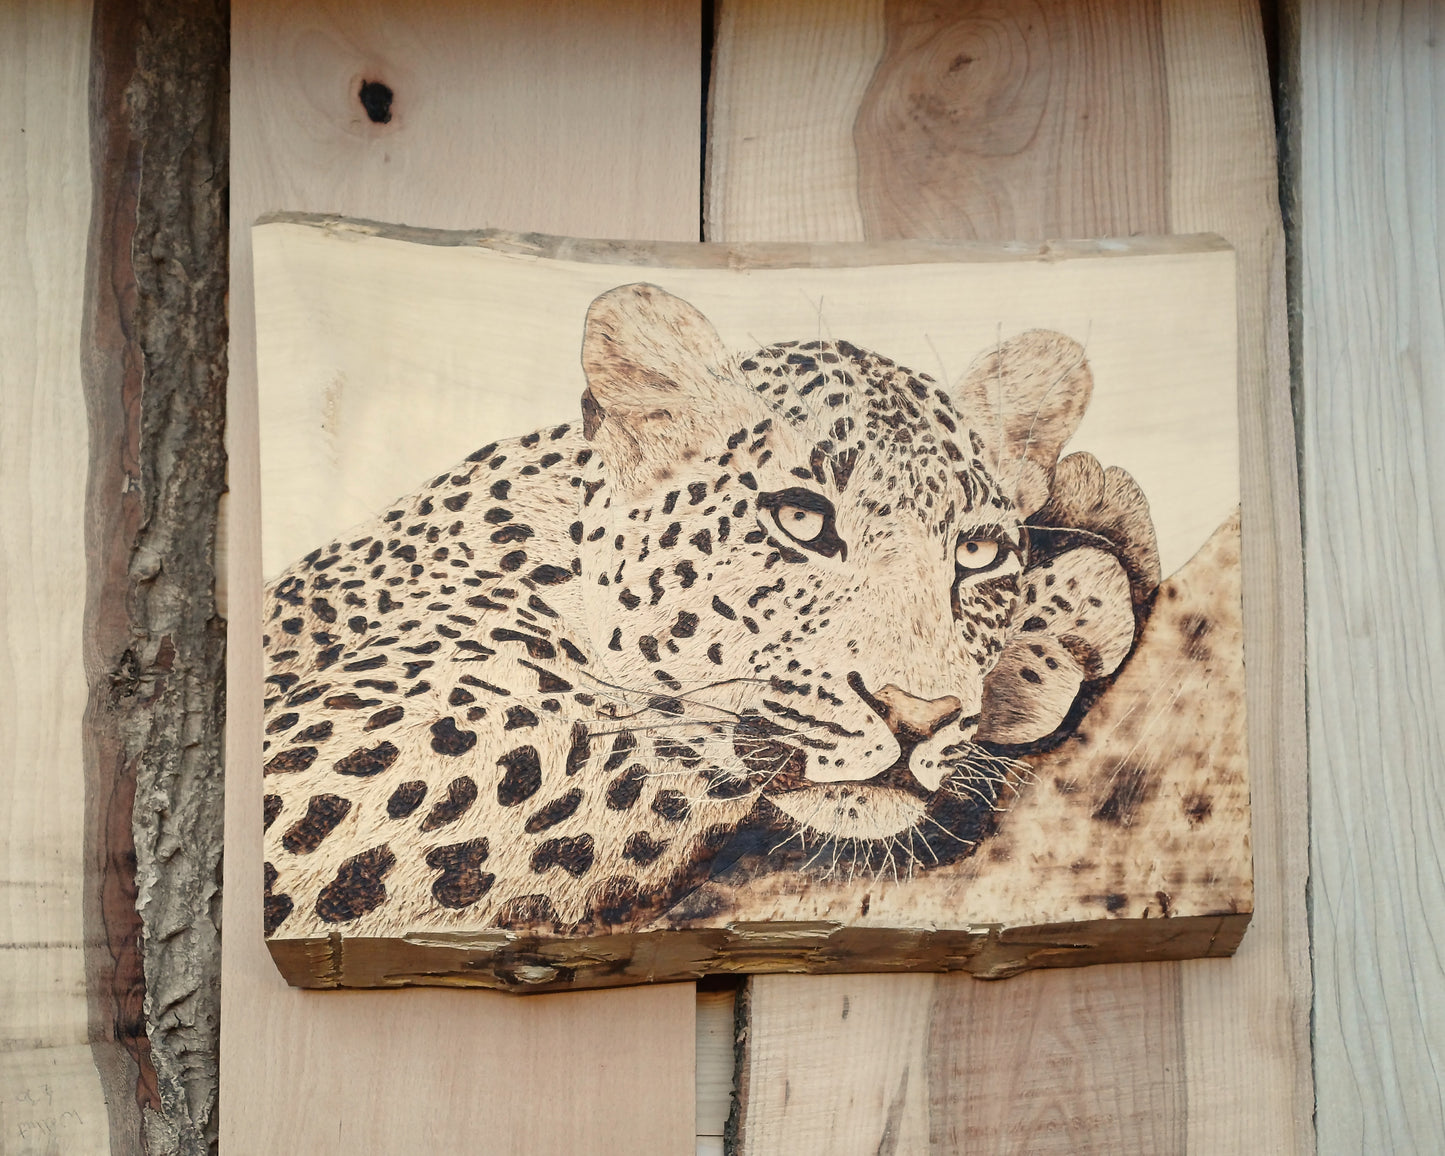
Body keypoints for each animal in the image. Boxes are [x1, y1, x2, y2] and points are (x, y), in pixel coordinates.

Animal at [259, 282, 1160, 944]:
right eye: (799, 520)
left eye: (975, 554)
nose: (918, 715)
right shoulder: (321, 782)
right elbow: (649, 749)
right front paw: (1069, 606)